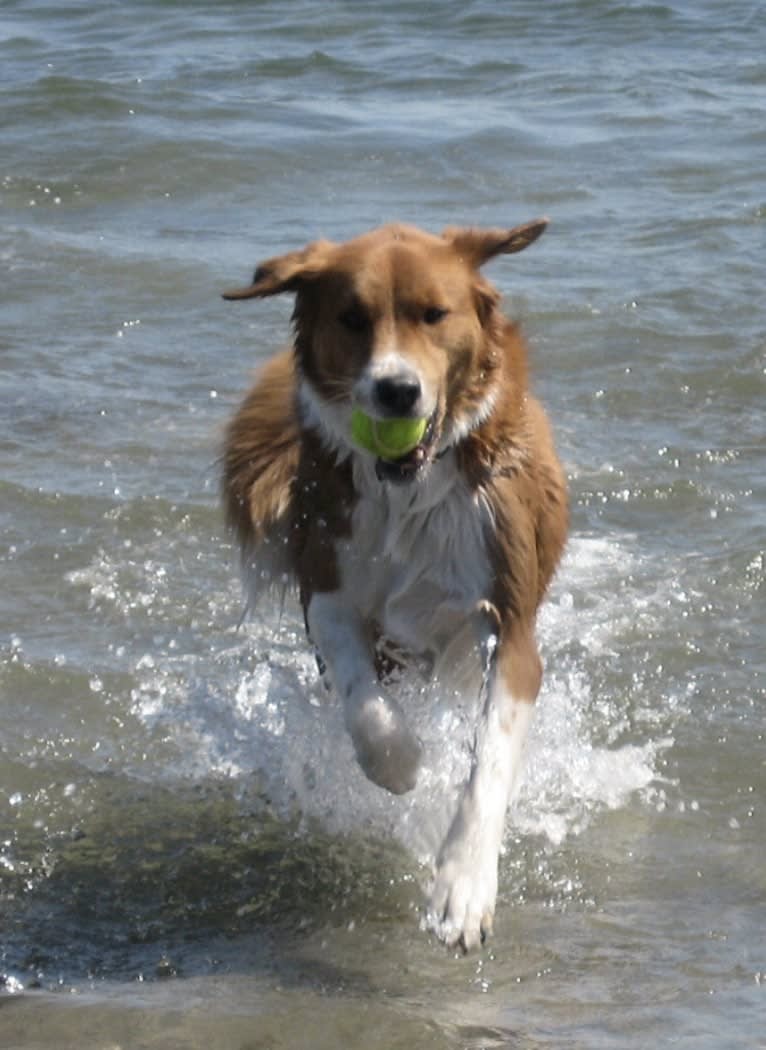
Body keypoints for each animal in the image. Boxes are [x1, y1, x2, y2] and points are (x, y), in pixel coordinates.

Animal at [220, 221, 566, 953]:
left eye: (434, 314)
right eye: (352, 319)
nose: (396, 391)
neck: (410, 492)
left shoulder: (511, 625)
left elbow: (490, 758)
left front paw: (464, 886)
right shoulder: (326, 595)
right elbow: (367, 709)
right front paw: (405, 762)